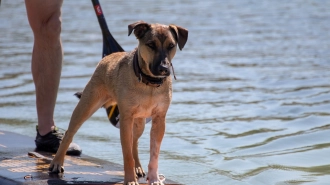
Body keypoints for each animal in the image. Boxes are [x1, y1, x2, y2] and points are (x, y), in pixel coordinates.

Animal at [49, 21, 188, 184]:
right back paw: (57, 162)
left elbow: (154, 154)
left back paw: (138, 167)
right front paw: (130, 179)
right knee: (69, 133)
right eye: (151, 45)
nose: (164, 68)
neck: (149, 83)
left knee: (134, 142)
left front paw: (153, 178)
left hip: (139, 122)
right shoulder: (126, 119)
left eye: (171, 45)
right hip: (86, 106)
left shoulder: (159, 120)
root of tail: (108, 56)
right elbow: (127, 154)